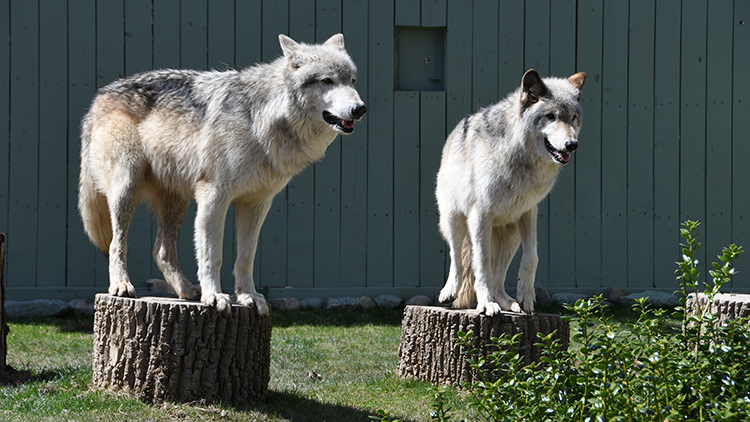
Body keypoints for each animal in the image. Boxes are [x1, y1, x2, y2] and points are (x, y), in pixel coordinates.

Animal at [78, 34, 366, 316]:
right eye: (327, 81)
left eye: (352, 81)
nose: (360, 108)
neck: (260, 120)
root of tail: (99, 96)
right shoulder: (214, 196)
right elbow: (212, 256)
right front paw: (215, 296)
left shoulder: (257, 204)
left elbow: (246, 257)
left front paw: (249, 297)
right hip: (127, 189)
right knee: (116, 243)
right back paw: (122, 285)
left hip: (177, 201)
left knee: (160, 251)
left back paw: (187, 291)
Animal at [436, 69, 585, 316]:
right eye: (551, 116)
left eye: (573, 118)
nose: (572, 144)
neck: (520, 158)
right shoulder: (480, 216)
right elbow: (481, 264)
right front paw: (486, 304)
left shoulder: (528, 212)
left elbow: (532, 257)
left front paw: (526, 297)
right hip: (455, 221)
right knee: (457, 259)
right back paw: (450, 292)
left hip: (511, 235)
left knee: (499, 277)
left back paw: (509, 302)